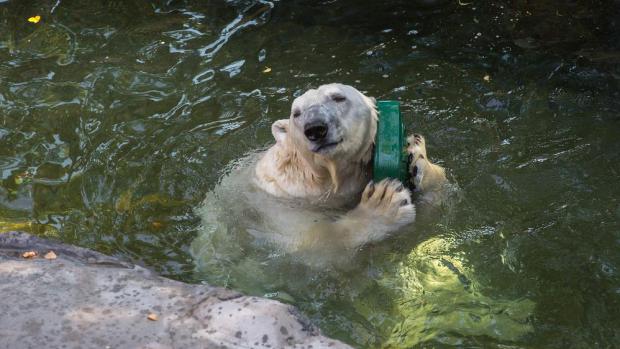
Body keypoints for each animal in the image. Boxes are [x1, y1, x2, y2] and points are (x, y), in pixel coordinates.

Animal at [193, 83, 446, 266]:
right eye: (296, 113)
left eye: (338, 98)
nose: (315, 128)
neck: (328, 181)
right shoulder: (277, 200)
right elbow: (312, 245)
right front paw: (384, 204)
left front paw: (417, 158)